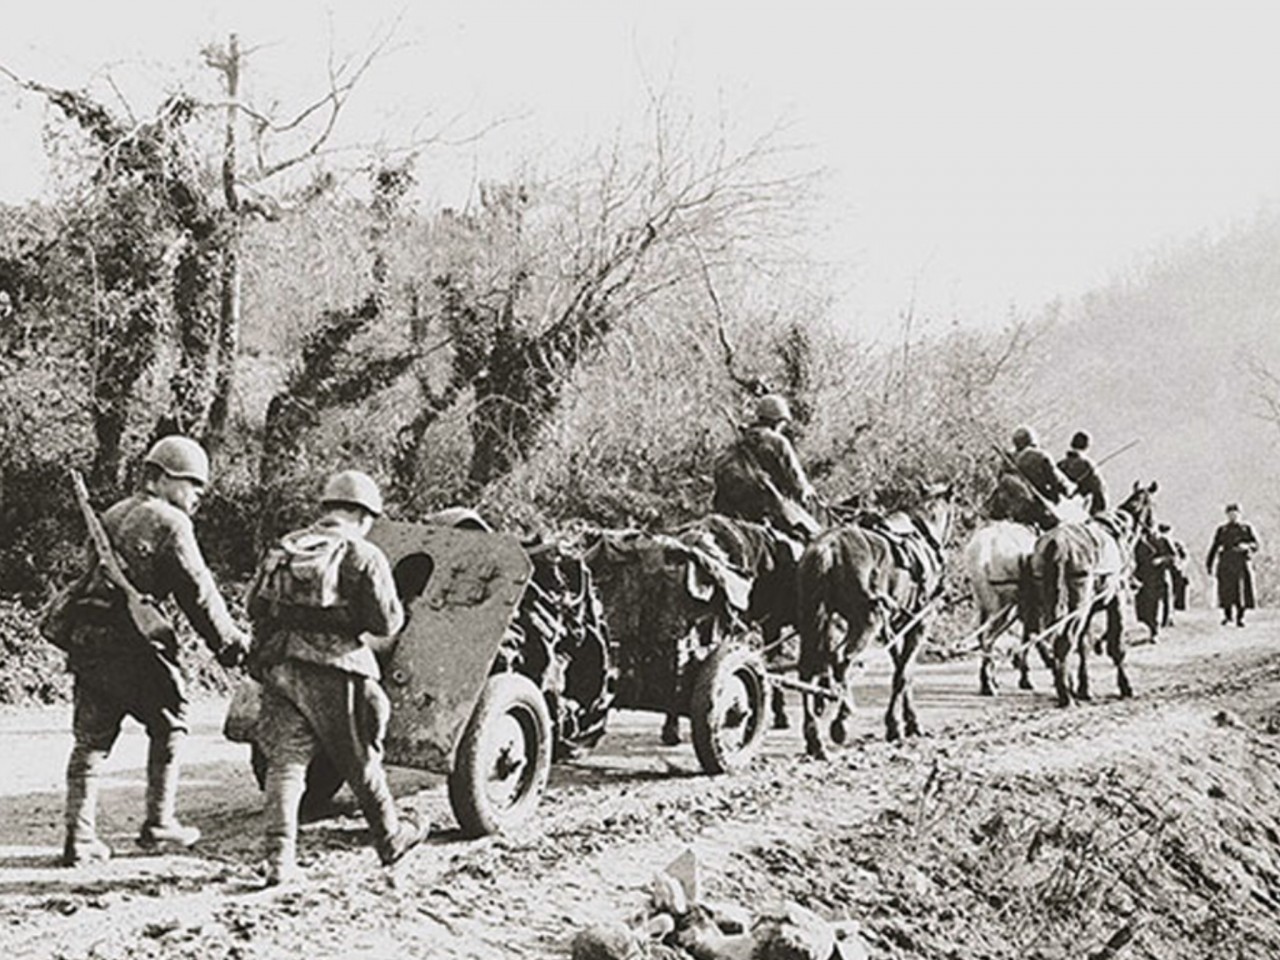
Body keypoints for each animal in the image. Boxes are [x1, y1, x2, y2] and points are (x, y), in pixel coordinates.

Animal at [793, 481, 957, 757]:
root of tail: (828, 548)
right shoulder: (919, 622)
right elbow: (903, 673)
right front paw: (899, 725)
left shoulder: (893, 626)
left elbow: (902, 669)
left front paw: (903, 721)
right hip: (865, 622)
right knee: (842, 659)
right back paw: (842, 719)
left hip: (813, 618)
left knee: (807, 669)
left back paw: (814, 738)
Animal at [1018, 481, 1162, 706]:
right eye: (1153, 506)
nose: (1157, 531)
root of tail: (1056, 544)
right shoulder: (1116, 600)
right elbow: (1116, 646)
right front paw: (1125, 686)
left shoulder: (1090, 610)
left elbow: (1084, 645)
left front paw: (1083, 688)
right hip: (1077, 605)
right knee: (1062, 642)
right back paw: (1065, 694)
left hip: (1050, 602)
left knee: (1047, 637)